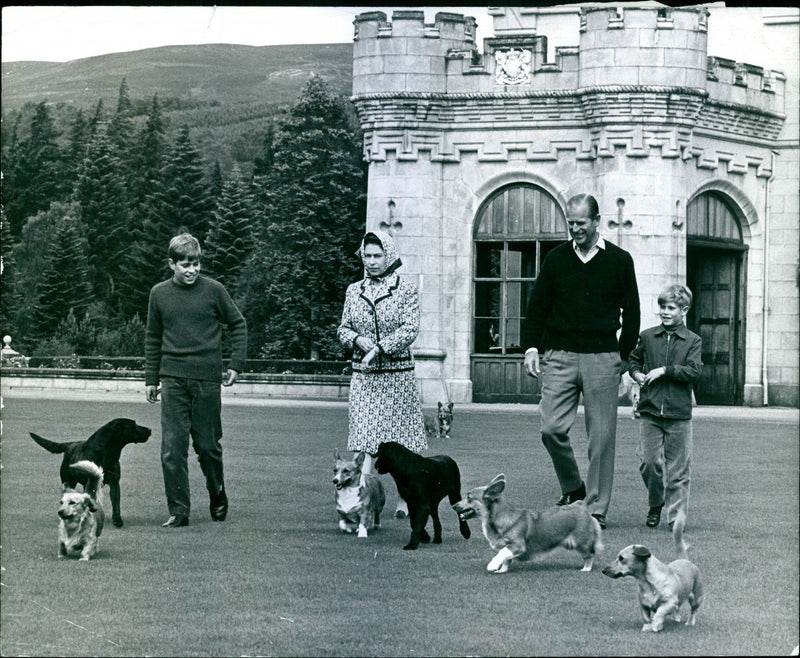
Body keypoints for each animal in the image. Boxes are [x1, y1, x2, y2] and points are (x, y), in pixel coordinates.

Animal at [454, 472, 604, 576]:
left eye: (469, 497)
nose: (453, 506)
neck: (498, 517)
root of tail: (581, 504)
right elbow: (506, 560)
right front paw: (502, 570)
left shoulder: (517, 545)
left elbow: (502, 552)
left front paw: (493, 565)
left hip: (582, 542)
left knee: (590, 554)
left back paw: (586, 569)